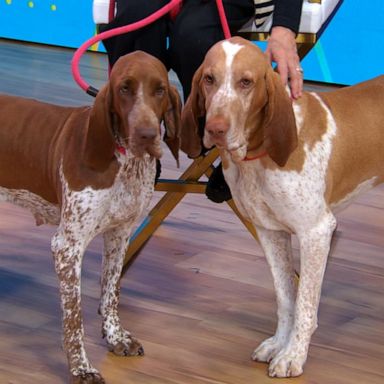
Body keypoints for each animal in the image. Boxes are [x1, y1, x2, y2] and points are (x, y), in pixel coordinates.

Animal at [0, 49, 182, 382]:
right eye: (124, 89)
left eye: (160, 90)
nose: (147, 135)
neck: (125, 163)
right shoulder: (67, 247)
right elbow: (74, 319)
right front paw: (80, 367)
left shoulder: (120, 235)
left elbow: (110, 293)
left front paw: (115, 337)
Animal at [182, 36, 382, 378]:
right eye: (209, 79)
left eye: (246, 82)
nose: (216, 128)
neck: (258, 156)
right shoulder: (269, 232)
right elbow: (286, 297)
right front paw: (279, 343)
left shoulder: (316, 233)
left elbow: (304, 304)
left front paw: (293, 355)